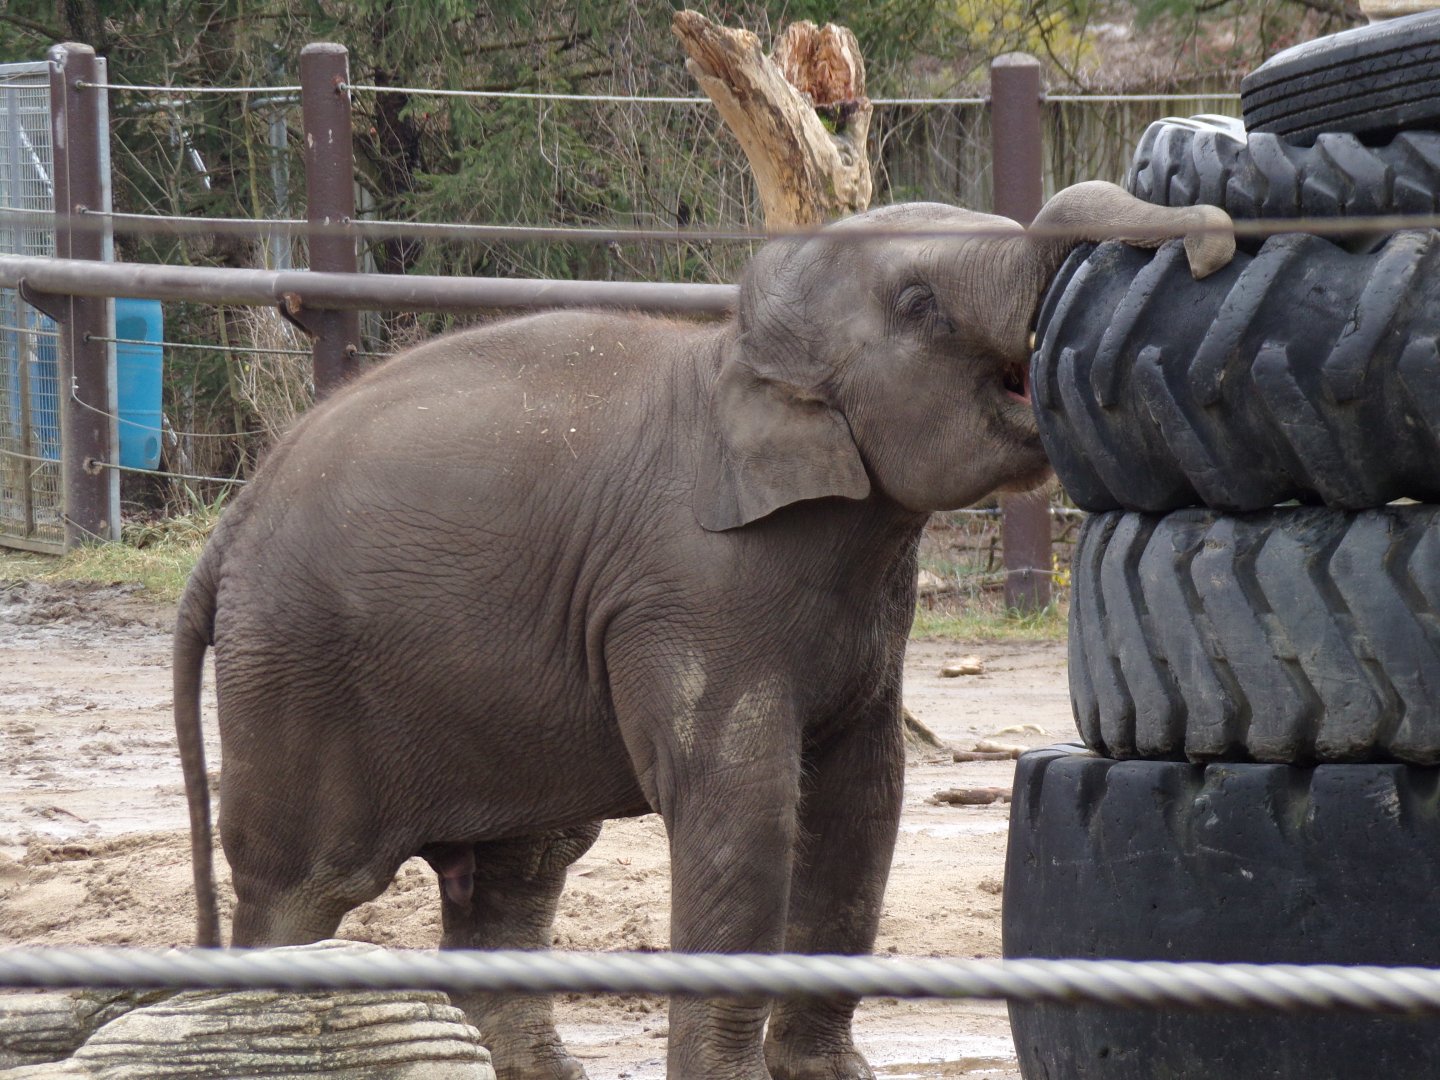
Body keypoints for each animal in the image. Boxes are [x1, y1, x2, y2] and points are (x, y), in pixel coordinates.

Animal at [173, 180, 1232, 1080]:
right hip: (294, 675)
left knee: (516, 880)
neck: (737, 359)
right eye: (920, 303)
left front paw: (827, 1075)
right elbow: (745, 813)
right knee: (303, 887)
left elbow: (862, 804)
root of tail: (231, 524)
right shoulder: (692, 593)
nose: (1214, 245)